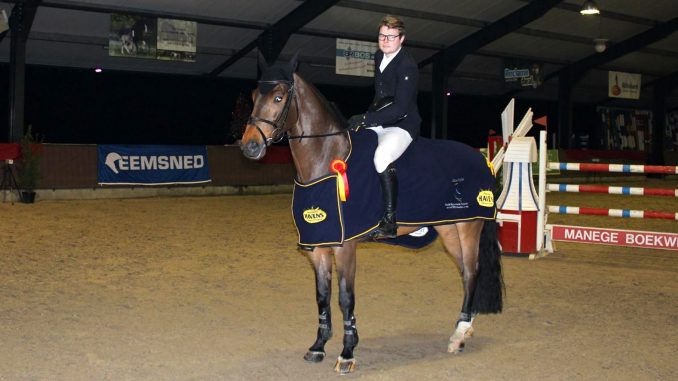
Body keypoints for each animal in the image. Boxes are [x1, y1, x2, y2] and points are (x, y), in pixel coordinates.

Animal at [240, 53, 504, 374]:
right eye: (254, 96)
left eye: (278, 97)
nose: (250, 146)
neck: (326, 159)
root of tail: (483, 159)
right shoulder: (319, 245)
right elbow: (322, 297)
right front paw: (318, 346)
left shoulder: (345, 247)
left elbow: (345, 298)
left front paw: (347, 353)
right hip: (449, 229)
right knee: (466, 273)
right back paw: (463, 330)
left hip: (469, 227)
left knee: (473, 272)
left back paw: (460, 335)